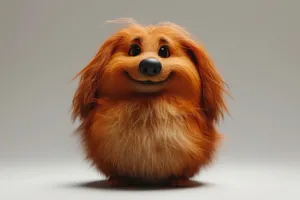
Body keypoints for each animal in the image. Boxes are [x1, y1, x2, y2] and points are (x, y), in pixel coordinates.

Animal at [71, 19, 229, 187]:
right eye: (134, 50)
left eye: (164, 51)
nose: (150, 65)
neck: (148, 103)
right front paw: (118, 179)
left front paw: (179, 180)